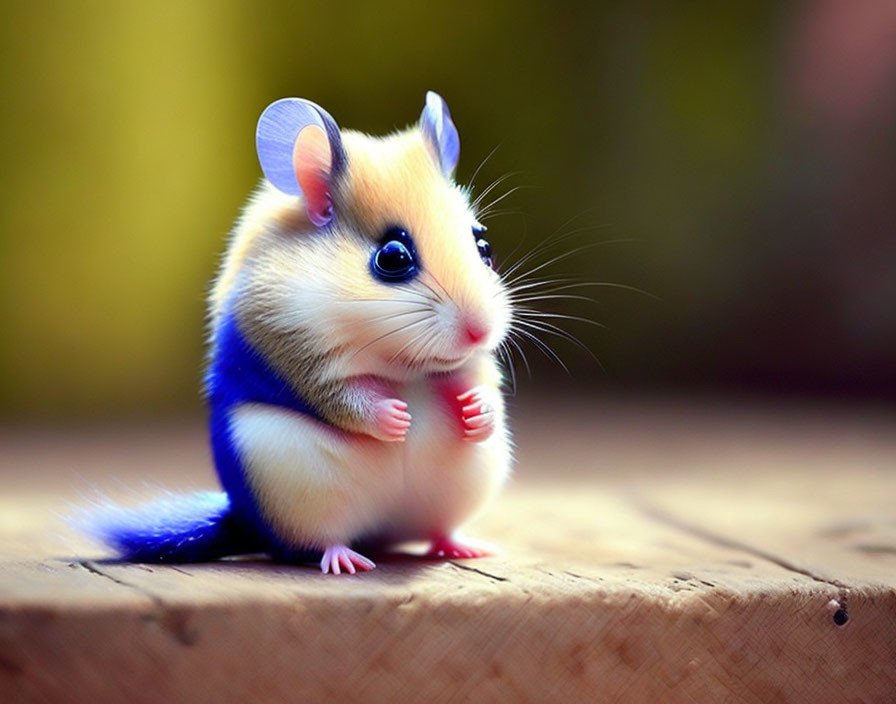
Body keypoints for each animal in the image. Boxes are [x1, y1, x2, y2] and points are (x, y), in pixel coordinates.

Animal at [88, 91, 520, 576]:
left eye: (484, 246)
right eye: (392, 258)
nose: (479, 332)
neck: (403, 365)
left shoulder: (474, 366)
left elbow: (481, 380)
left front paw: (476, 411)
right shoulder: (291, 352)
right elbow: (341, 397)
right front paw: (397, 419)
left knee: (435, 531)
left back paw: (464, 546)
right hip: (290, 480)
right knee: (316, 542)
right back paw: (344, 560)